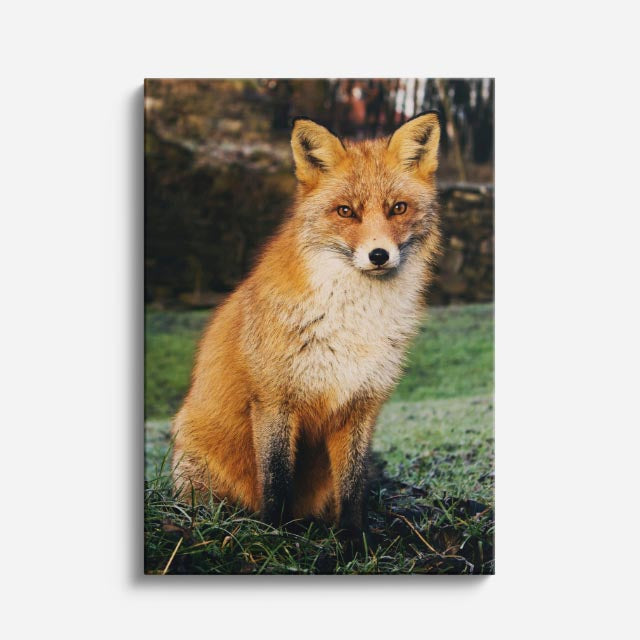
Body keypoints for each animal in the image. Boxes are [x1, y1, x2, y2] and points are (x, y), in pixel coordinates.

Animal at [171, 111, 441, 534]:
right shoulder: (273, 400)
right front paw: (275, 535)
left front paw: (353, 540)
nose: (379, 255)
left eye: (398, 208)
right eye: (346, 211)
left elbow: (353, 486)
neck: (352, 322)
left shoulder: (361, 406)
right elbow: (277, 480)